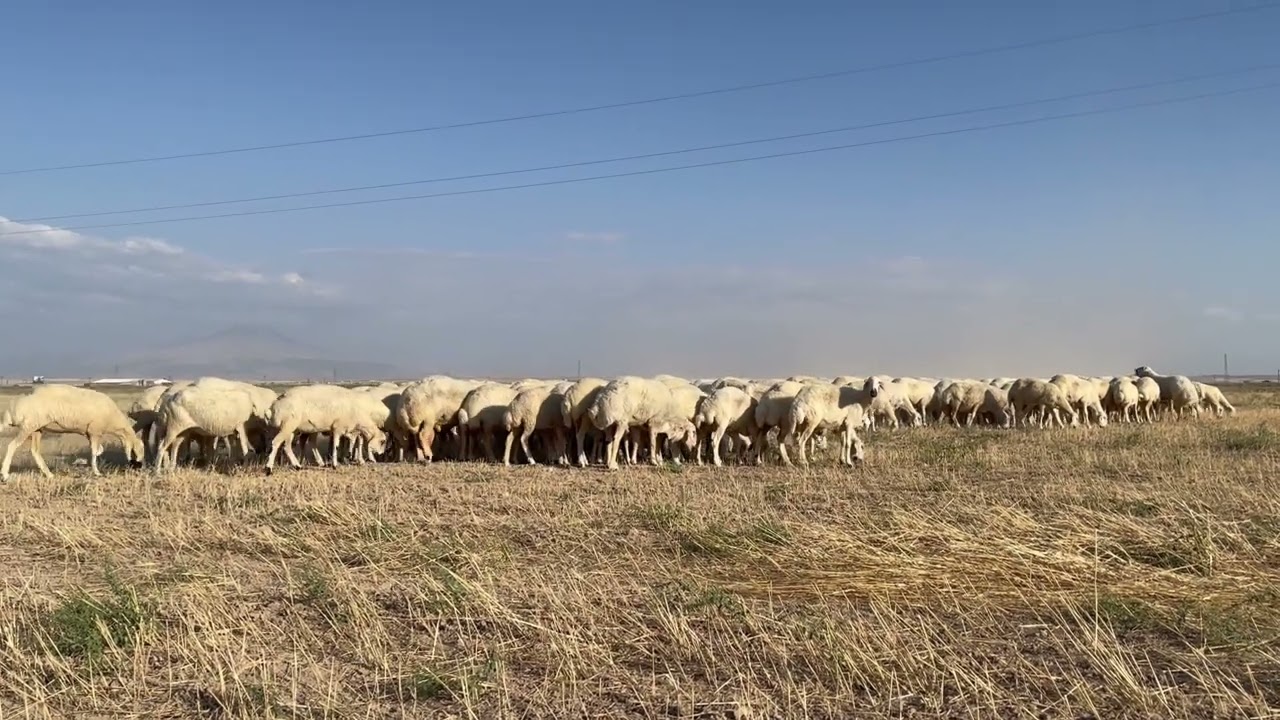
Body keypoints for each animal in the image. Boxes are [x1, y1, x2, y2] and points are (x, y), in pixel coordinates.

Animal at [1, 384, 145, 481]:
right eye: (136, 451)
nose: (139, 467)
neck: (114, 421)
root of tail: (14, 407)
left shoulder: (89, 433)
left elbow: (98, 450)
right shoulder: (95, 431)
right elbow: (94, 452)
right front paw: (97, 472)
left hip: (37, 429)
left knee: (34, 451)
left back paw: (49, 474)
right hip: (28, 427)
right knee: (12, 446)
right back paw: (5, 474)